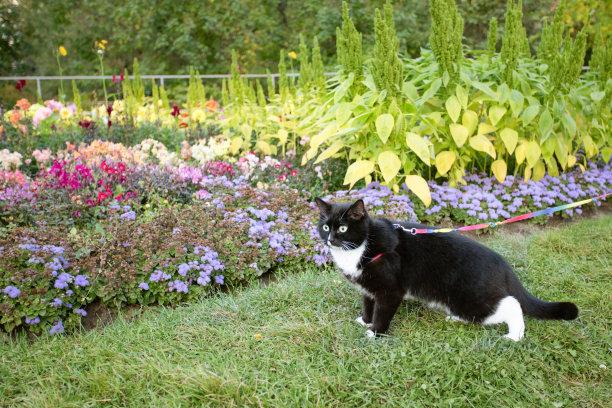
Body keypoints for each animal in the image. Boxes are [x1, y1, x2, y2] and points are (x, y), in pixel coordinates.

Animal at [315, 197, 579, 341]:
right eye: (326, 227)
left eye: (343, 229)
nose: (330, 240)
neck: (362, 246)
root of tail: (502, 263)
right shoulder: (369, 286)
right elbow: (368, 303)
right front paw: (365, 320)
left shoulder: (390, 290)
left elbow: (383, 311)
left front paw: (375, 332)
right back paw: (455, 319)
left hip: (470, 297)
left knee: (511, 305)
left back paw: (514, 335)